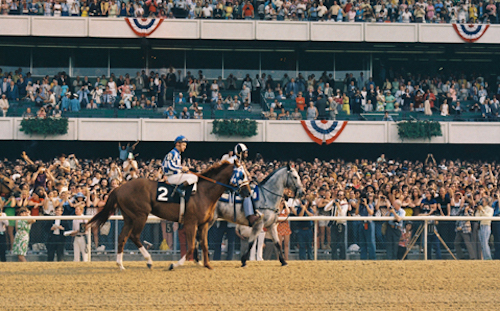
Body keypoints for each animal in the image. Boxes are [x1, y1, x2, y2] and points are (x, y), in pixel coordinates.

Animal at [88, 162, 252, 272]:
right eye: (242, 174)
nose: (248, 192)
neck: (203, 192)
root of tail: (119, 187)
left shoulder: (204, 224)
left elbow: (204, 244)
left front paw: (207, 265)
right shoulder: (191, 223)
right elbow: (191, 246)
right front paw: (175, 264)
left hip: (129, 217)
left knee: (122, 237)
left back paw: (120, 264)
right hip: (140, 215)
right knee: (134, 236)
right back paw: (149, 261)